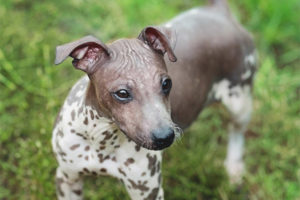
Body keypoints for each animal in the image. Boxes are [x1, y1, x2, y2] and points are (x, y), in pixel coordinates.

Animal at [52, 0, 258, 199]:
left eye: (166, 84)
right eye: (122, 93)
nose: (165, 137)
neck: (102, 139)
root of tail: (218, 10)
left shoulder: (147, 190)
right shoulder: (67, 178)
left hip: (239, 101)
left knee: (236, 132)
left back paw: (234, 168)